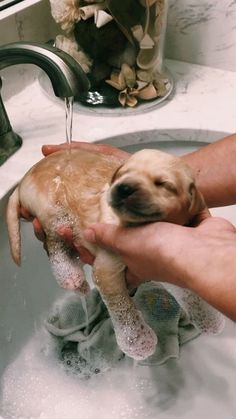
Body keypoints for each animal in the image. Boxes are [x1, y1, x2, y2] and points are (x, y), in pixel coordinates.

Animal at [6, 148, 206, 360]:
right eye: (122, 174)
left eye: (163, 184)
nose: (123, 188)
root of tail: (23, 180)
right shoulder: (106, 269)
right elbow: (122, 307)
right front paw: (138, 342)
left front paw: (206, 317)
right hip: (52, 212)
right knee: (55, 242)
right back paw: (72, 277)